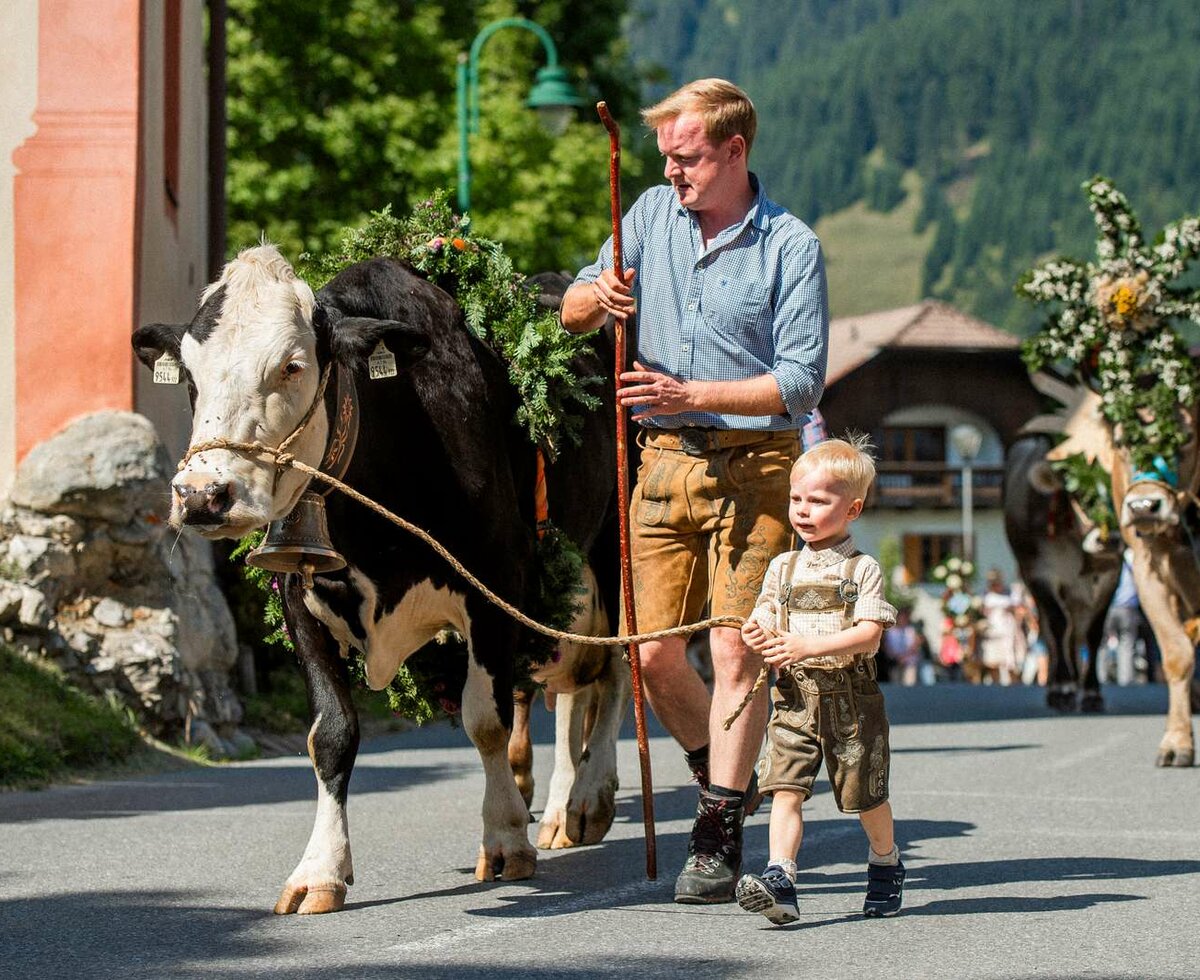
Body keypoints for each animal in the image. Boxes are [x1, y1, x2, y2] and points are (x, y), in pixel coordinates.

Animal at [133, 248, 628, 911]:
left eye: (293, 365)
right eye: (188, 373)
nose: (201, 495)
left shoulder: (496, 587)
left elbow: (486, 720)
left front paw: (504, 840)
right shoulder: (300, 600)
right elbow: (331, 735)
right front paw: (319, 869)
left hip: (613, 552)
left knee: (617, 666)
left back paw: (587, 798)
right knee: (575, 684)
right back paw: (557, 812)